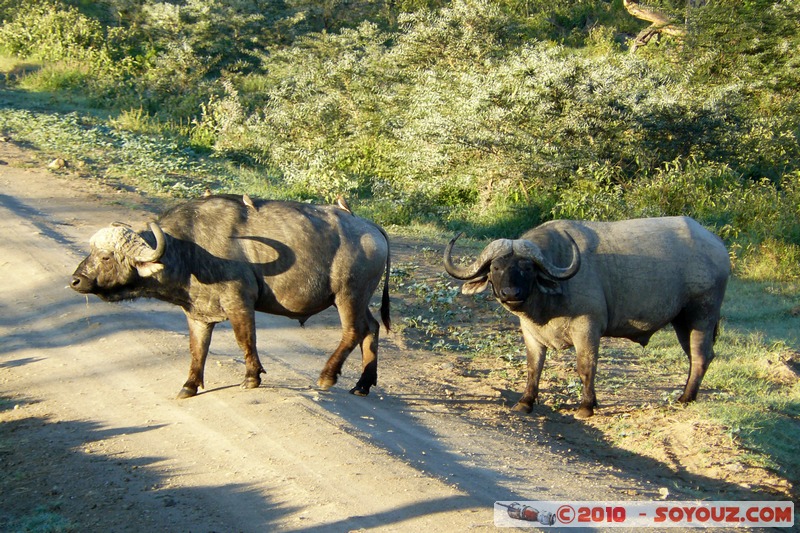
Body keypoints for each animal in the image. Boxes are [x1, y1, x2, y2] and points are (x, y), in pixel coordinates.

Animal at [72, 193, 390, 396]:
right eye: (92, 252)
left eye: (106, 257)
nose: (76, 280)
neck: (189, 250)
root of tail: (371, 228)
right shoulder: (197, 314)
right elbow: (197, 349)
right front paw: (189, 385)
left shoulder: (240, 303)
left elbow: (245, 339)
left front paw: (251, 377)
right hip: (360, 298)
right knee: (371, 328)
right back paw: (363, 384)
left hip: (348, 295)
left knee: (353, 331)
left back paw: (327, 376)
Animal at [444, 215, 732, 416]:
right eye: (496, 267)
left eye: (527, 268)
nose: (510, 293)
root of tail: (717, 244)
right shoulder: (530, 333)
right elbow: (533, 367)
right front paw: (525, 402)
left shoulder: (588, 328)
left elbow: (586, 366)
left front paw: (586, 406)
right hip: (682, 321)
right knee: (697, 356)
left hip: (701, 314)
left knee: (701, 356)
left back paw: (685, 398)